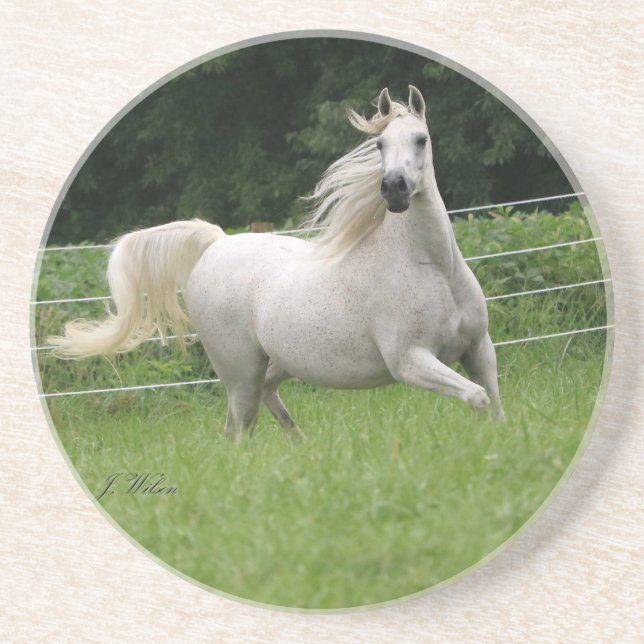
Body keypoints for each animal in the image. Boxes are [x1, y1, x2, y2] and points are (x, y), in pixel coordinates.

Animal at [48, 85, 504, 441]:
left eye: (421, 139)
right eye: (379, 145)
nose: (393, 188)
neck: (430, 267)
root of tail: (216, 244)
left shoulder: (479, 348)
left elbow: (495, 403)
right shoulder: (410, 361)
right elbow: (477, 398)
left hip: (277, 363)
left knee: (255, 409)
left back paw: (300, 441)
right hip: (240, 371)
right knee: (239, 428)